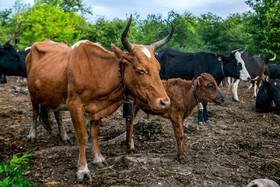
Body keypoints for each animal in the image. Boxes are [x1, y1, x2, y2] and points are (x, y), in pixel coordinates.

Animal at [25, 15, 173, 181]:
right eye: (140, 70)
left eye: (158, 68)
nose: (165, 102)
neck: (97, 72)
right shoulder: (75, 105)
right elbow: (83, 136)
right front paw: (82, 169)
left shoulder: (98, 108)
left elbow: (94, 133)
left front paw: (98, 158)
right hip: (33, 93)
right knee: (34, 112)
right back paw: (32, 135)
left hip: (55, 94)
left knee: (58, 114)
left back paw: (64, 136)